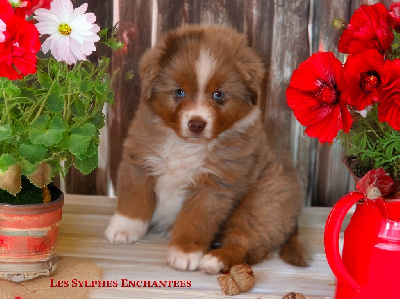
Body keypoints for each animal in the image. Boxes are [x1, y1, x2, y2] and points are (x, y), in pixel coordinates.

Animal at [104, 25, 308, 274]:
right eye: (179, 92)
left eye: (218, 95)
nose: (196, 124)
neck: (185, 144)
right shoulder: (140, 159)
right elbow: (134, 199)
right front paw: (125, 228)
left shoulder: (213, 186)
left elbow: (195, 222)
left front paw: (184, 252)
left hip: (261, 205)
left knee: (245, 245)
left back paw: (214, 260)